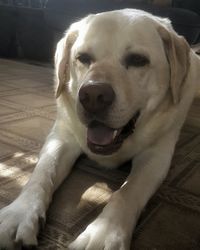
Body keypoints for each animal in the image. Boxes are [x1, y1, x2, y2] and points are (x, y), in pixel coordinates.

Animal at [0, 8, 200, 250]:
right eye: (83, 58)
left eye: (138, 60)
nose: (93, 96)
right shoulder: (61, 137)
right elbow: (41, 173)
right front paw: (19, 213)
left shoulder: (157, 155)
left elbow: (127, 192)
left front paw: (104, 232)